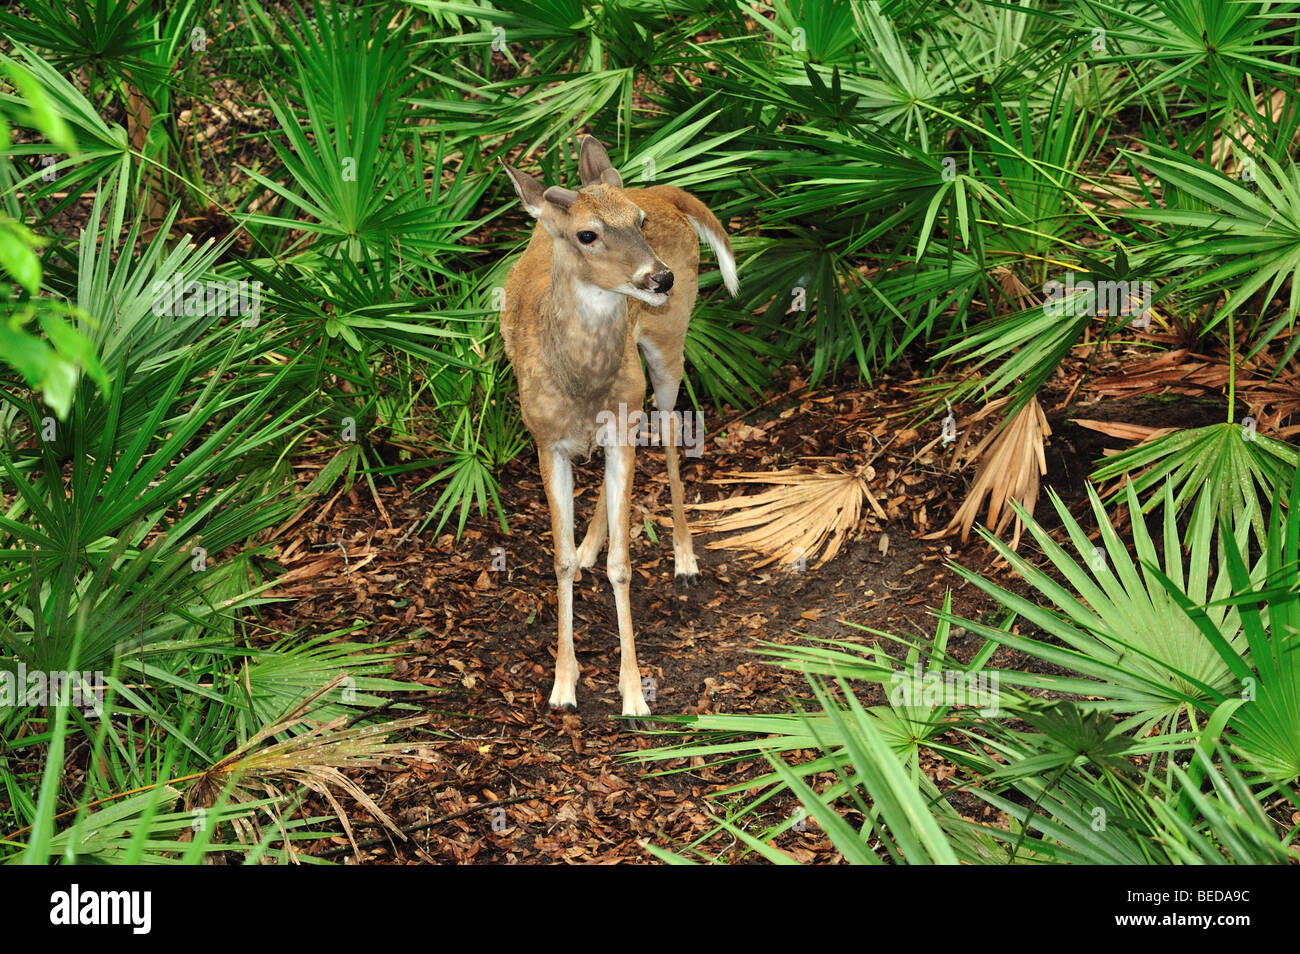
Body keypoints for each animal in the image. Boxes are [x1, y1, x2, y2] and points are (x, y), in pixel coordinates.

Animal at [499, 134, 738, 717]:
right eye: (587, 234)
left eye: (638, 222)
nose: (660, 277)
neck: (580, 383)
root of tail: (663, 190)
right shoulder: (545, 441)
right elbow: (560, 561)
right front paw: (563, 685)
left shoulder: (622, 418)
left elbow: (624, 564)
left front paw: (632, 692)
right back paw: (591, 546)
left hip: (668, 341)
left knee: (670, 428)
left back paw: (684, 557)